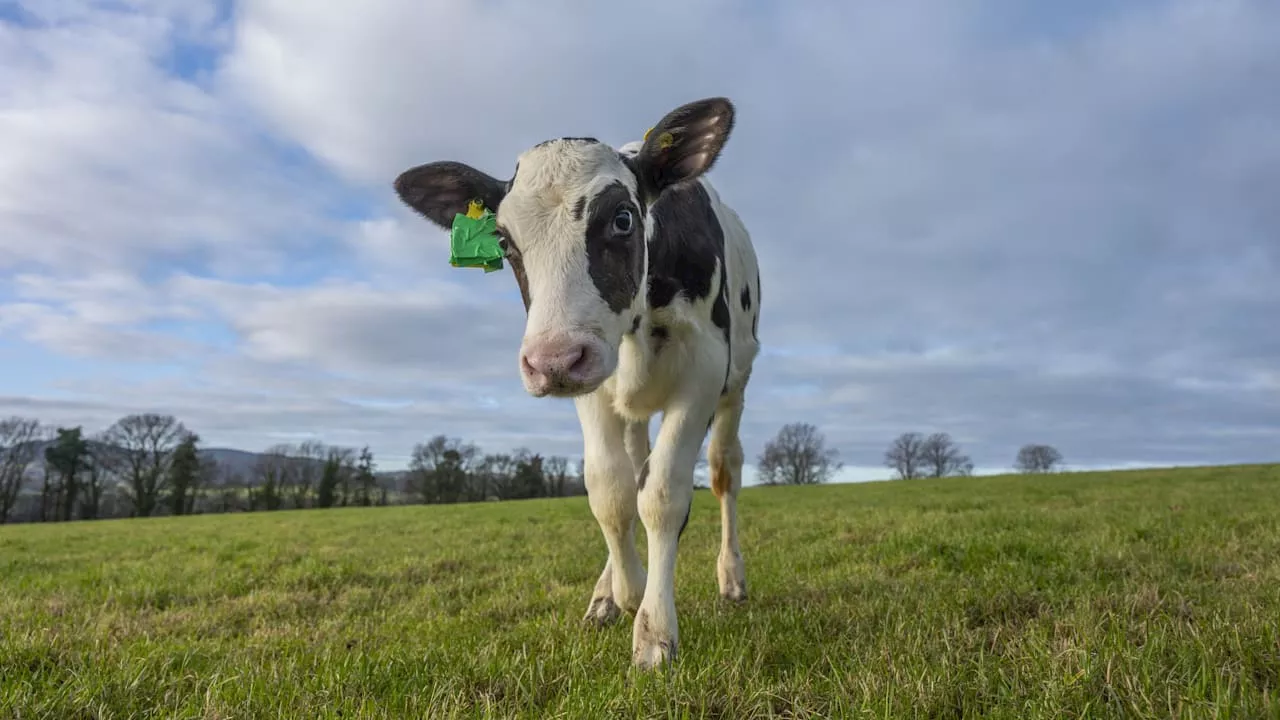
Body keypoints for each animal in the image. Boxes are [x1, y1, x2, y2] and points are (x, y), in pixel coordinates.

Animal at [391, 96, 757, 666]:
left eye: (623, 218)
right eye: (503, 240)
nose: (553, 360)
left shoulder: (702, 370)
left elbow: (662, 495)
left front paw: (654, 631)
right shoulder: (593, 386)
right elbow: (610, 492)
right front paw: (626, 592)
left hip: (736, 385)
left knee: (723, 472)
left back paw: (731, 577)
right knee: (631, 470)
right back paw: (606, 594)